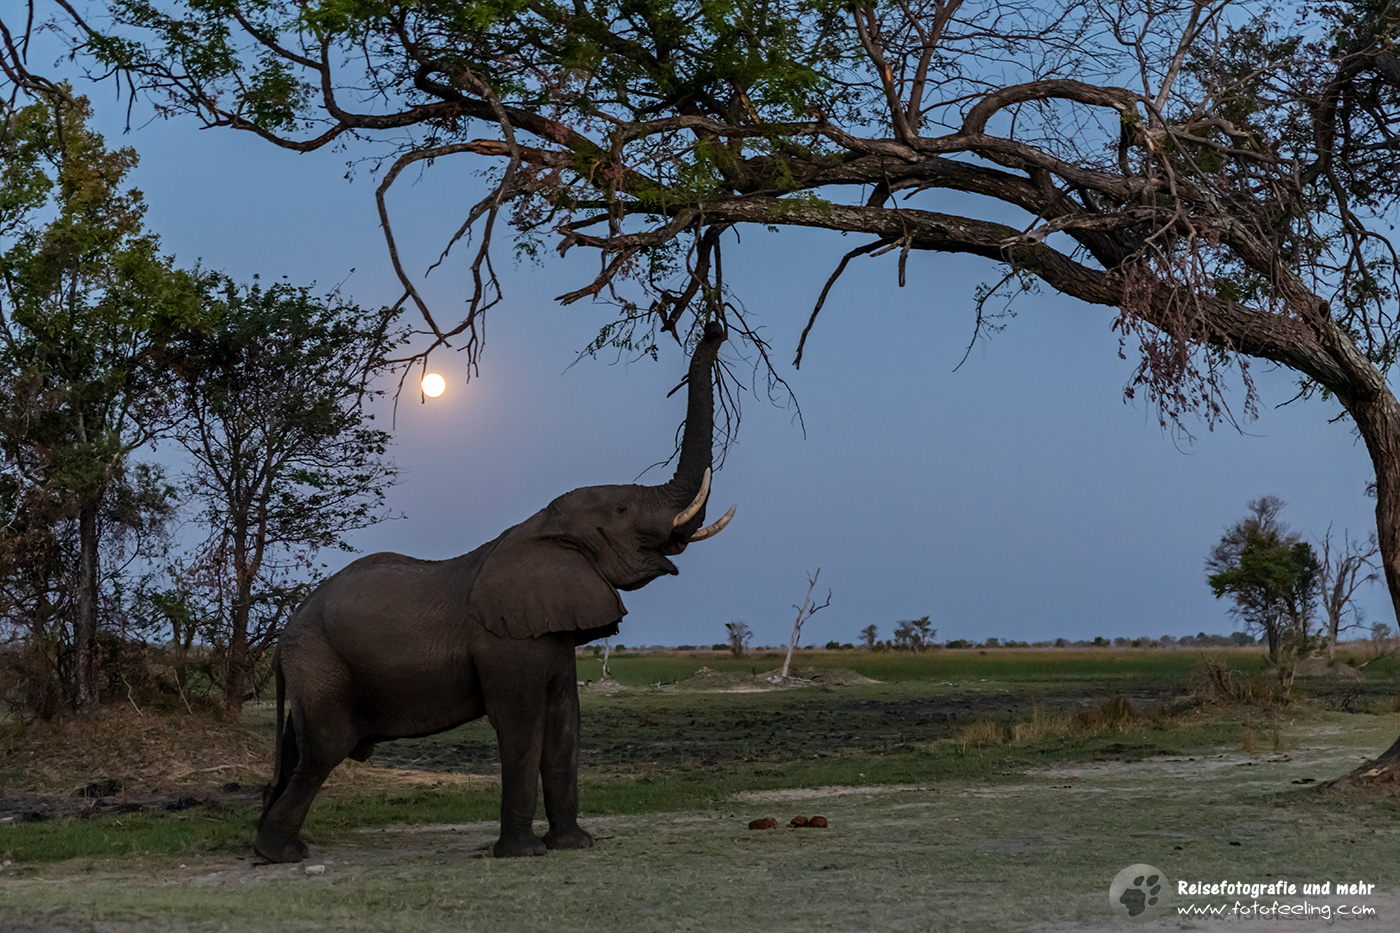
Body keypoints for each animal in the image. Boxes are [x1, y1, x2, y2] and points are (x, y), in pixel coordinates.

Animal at [254, 322, 734, 863]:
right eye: (622, 512)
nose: (714, 328)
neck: (540, 528)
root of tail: (286, 634)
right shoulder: (506, 643)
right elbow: (522, 725)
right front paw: (523, 853)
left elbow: (565, 723)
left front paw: (574, 845)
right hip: (322, 664)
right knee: (323, 750)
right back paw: (282, 855)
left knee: (298, 747)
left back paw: (272, 846)